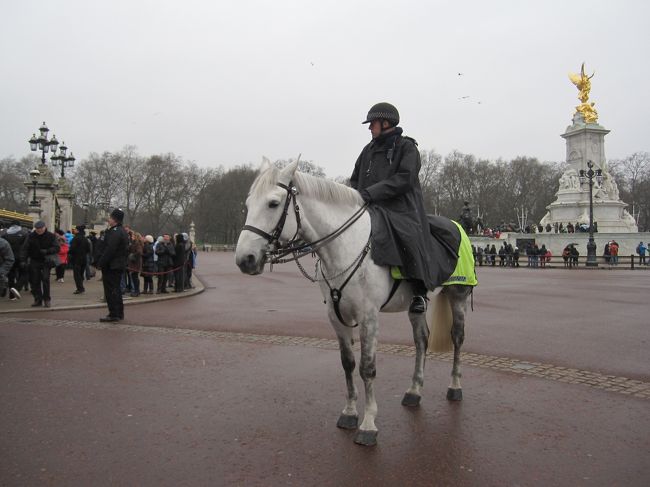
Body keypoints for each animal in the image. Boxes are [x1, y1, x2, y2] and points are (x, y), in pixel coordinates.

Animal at [235, 159, 473, 446]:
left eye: (273, 203)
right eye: (248, 204)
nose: (244, 259)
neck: (344, 248)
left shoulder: (369, 317)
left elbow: (367, 368)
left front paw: (369, 424)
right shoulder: (336, 317)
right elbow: (347, 363)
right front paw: (349, 412)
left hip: (458, 295)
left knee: (457, 337)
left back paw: (455, 386)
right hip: (416, 307)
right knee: (421, 340)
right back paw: (414, 391)